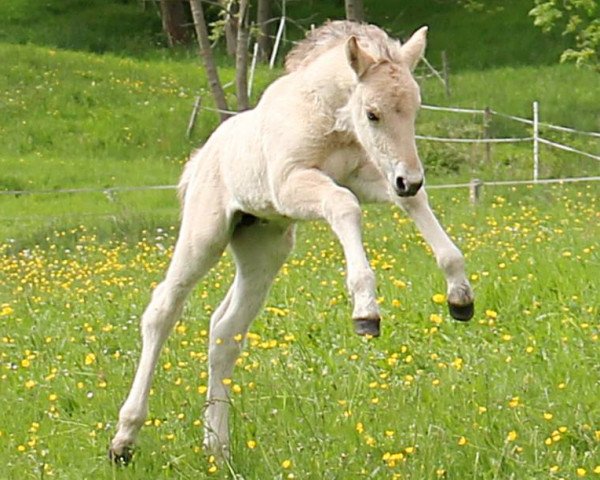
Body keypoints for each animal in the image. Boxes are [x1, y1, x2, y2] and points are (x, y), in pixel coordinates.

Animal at [108, 21, 474, 462]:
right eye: (373, 113)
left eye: (415, 110)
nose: (410, 178)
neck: (327, 118)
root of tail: (200, 158)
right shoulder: (292, 185)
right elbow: (343, 205)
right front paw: (366, 311)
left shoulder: (365, 176)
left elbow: (411, 204)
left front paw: (459, 295)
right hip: (204, 236)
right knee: (162, 310)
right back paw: (124, 440)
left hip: (263, 249)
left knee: (225, 331)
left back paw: (217, 447)